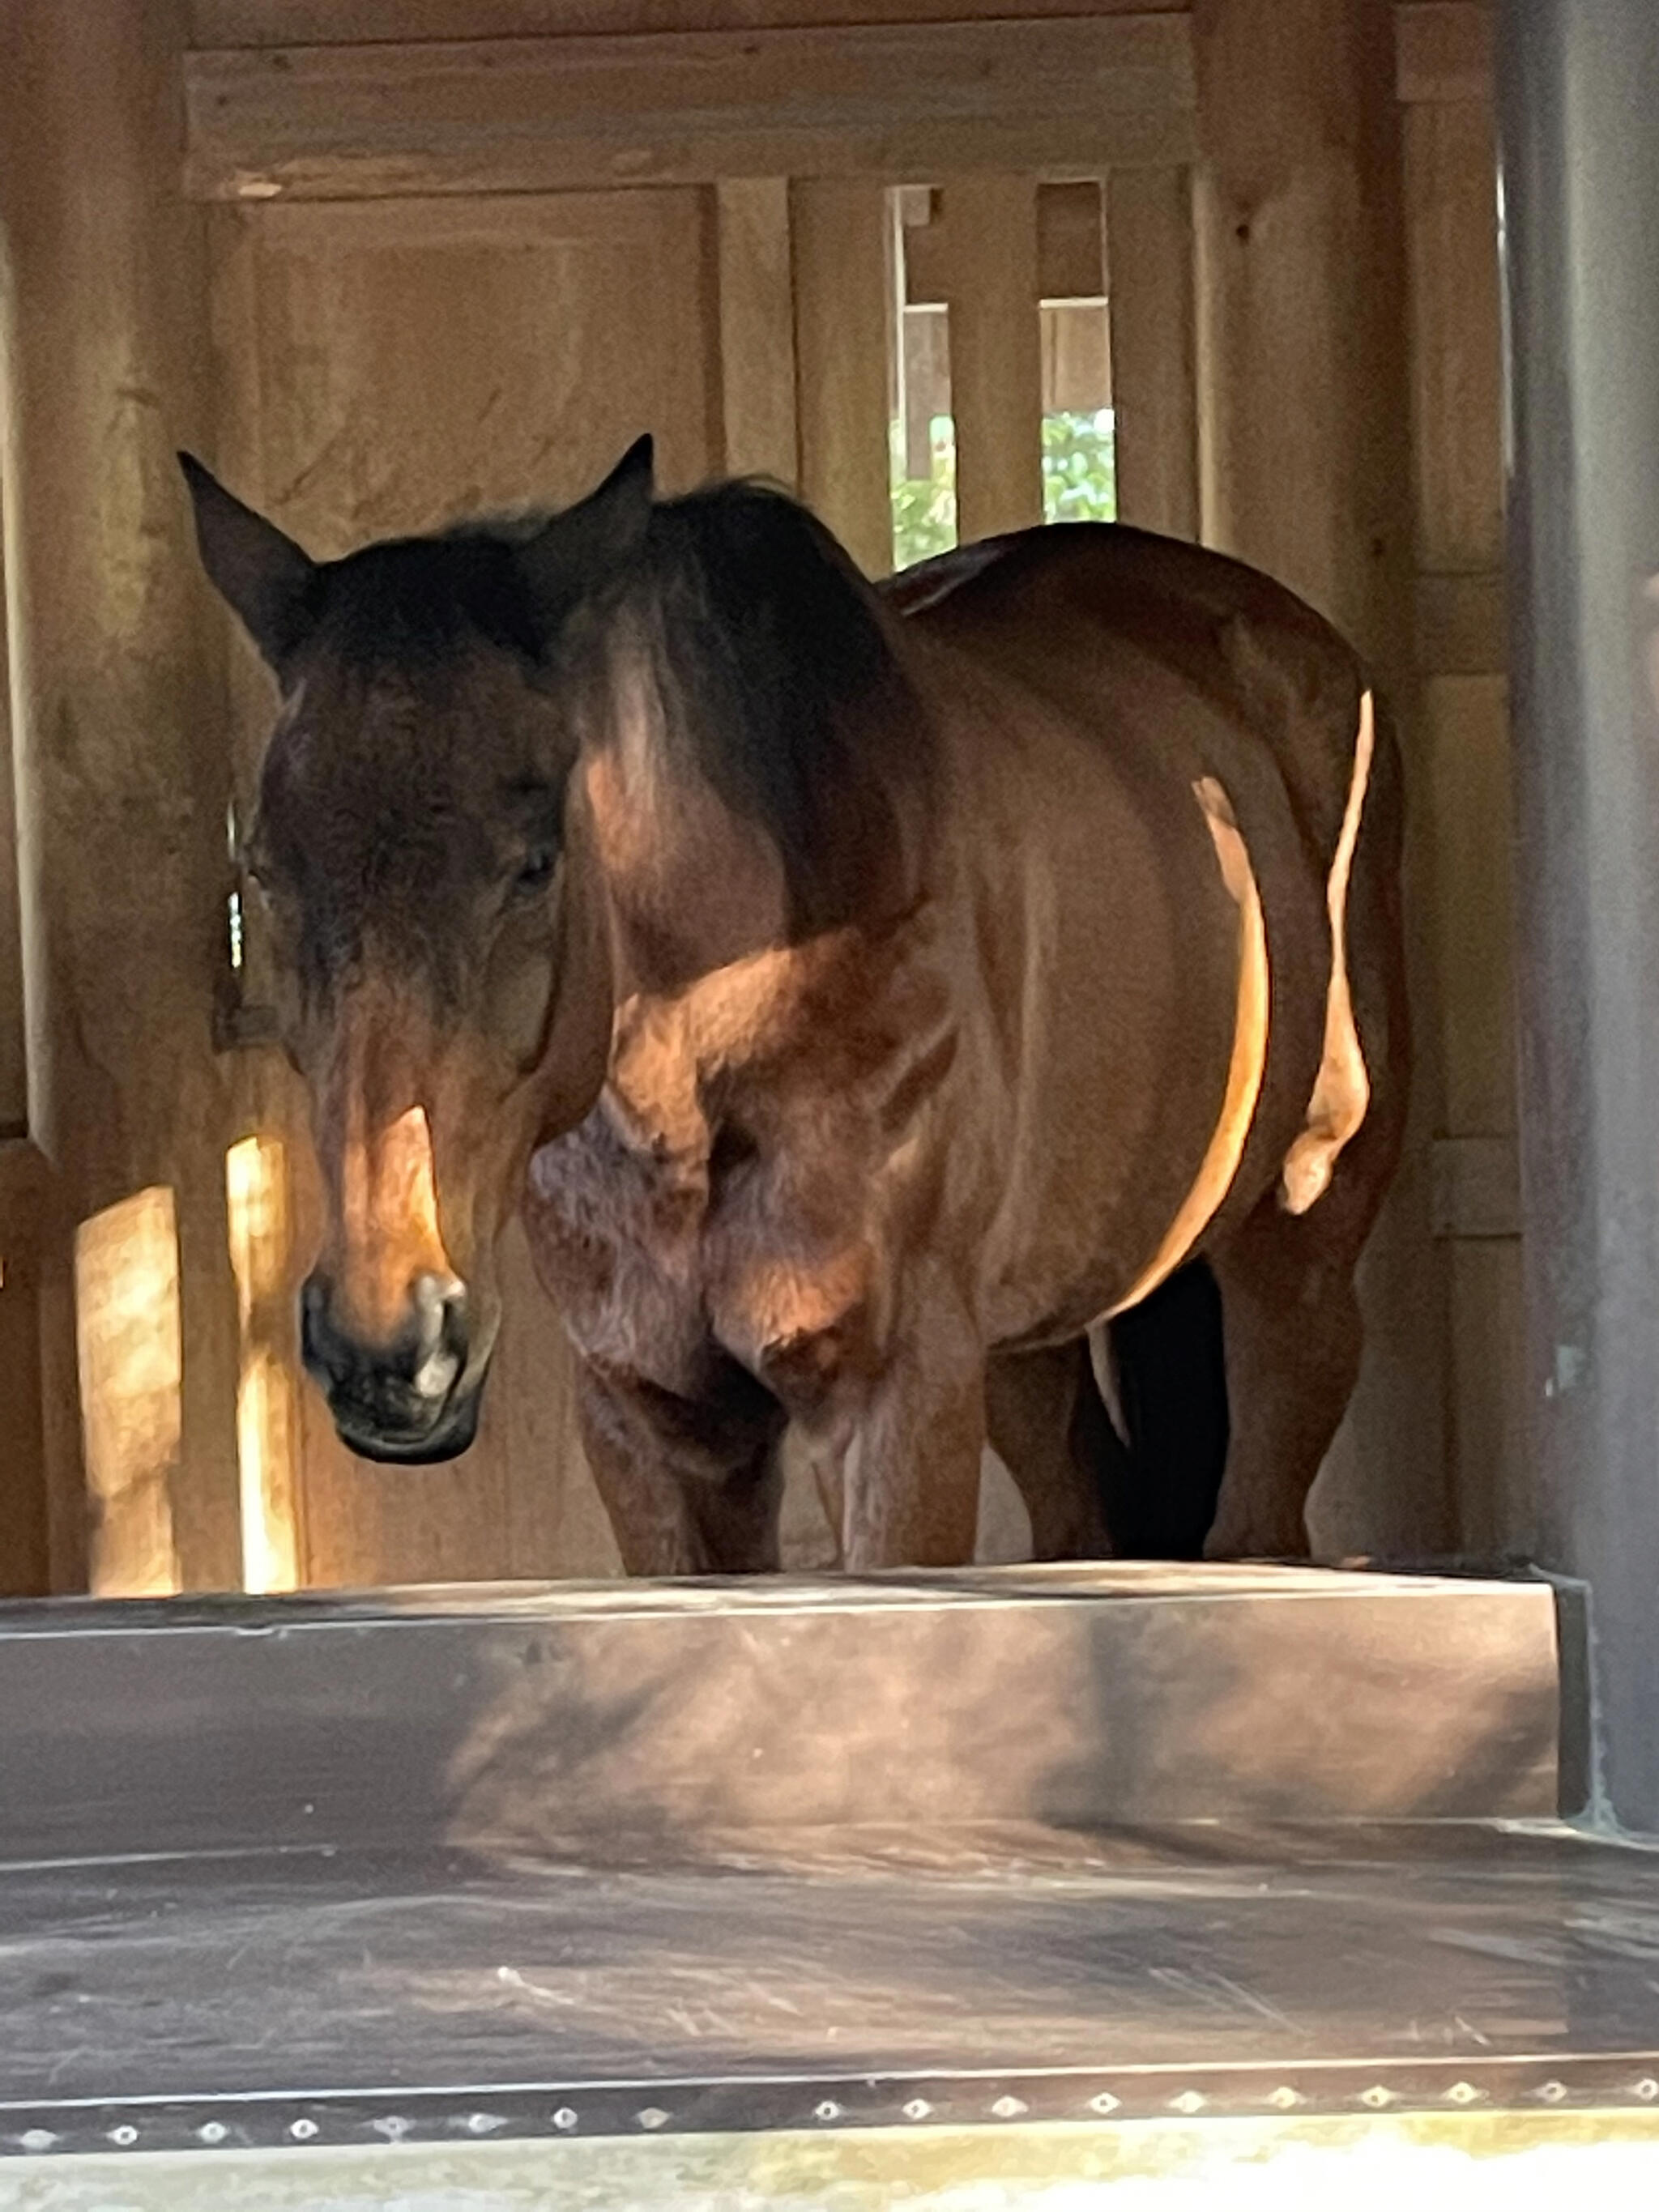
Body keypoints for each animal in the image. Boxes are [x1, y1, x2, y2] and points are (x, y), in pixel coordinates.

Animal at [181, 436, 1406, 1575]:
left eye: (533, 863)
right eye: (266, 868)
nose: (386, 1344)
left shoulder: (892, 1405)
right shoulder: (653, 1424)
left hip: (1299, 1252)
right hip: (1023, 1345)